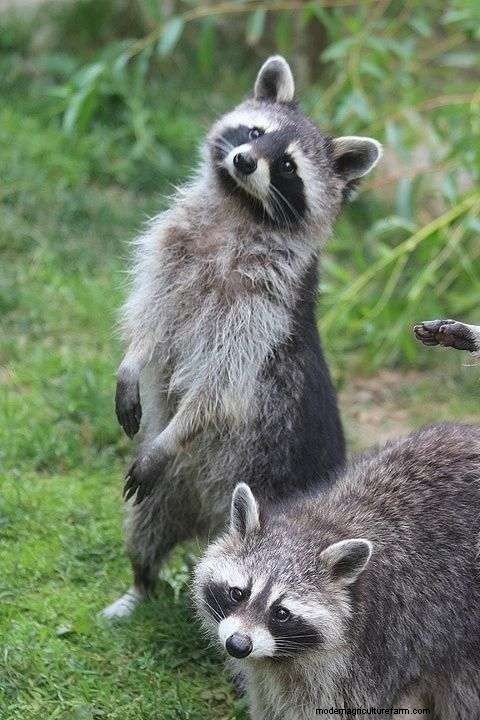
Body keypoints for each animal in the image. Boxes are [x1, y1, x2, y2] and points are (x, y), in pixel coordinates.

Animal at [102, 56, 382, 619]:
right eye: (255, 132)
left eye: (289, 166)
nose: (245, 160)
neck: (239, 210)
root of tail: (209, 523)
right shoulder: (174, 250)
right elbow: (151, 320)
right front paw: (132, 361)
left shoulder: (262, 307)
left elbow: (219, 388)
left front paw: (178, 429)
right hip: (169, 493)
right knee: (144, 527)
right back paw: (140, 582)